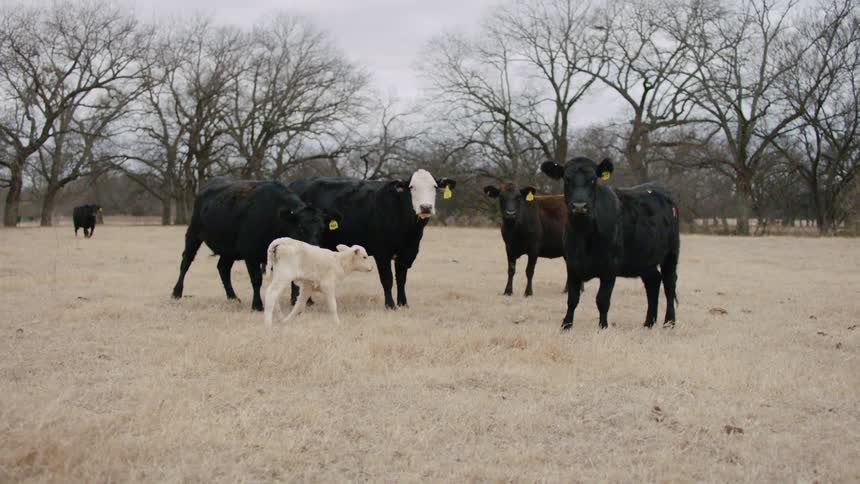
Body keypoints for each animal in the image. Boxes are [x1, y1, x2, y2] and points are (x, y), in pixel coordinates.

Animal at [171, 177, 341, 311]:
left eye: (322, 228)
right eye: (300, 228)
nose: (314, 248)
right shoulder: (251, 255)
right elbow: (256, 279)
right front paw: (257, 305)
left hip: (229, 250)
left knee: (223, 268)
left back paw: (232, 297)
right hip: (193, 234)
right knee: (186, 262)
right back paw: (176, 292)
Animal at [288, 169, 456, 309]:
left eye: (434, 187)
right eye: (412, 187)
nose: (425, 207)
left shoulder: (407, 252)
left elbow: (401, 279)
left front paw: (403, 304)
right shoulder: (382, 252)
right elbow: (387, 279)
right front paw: (390, 305)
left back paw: (307, 301)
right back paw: (296, 301)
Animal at [540, 156, 680, 331]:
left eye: (593, 180)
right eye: (567, 179)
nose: (579, 206)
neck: (583, 235)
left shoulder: (610, 267)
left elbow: (602, 299)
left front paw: (603, 326)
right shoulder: (572, 265)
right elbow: (572, 298)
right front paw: (566, 325)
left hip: (671, 253)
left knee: (669, 284)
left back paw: (670, 322)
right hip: (644, 260)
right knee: (653, 282)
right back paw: (649, 322)